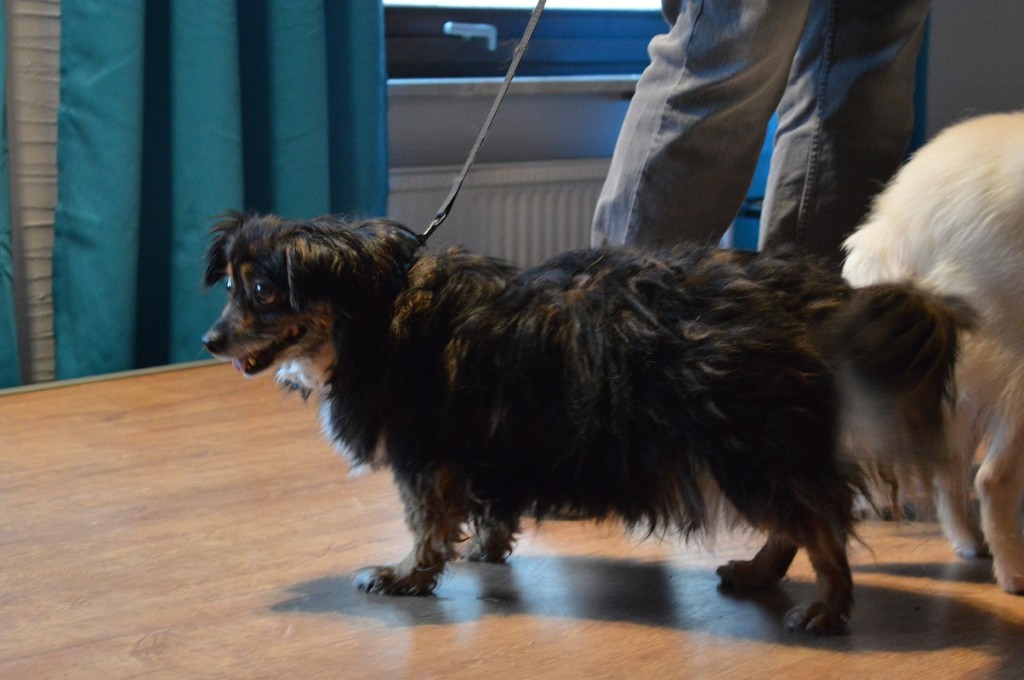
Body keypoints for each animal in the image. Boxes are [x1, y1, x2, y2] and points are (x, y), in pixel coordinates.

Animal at [202, 211, 968, 634]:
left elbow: (426, 527)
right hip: (759, 445)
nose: (209, 340)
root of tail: (826, 300)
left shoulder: (424, 454)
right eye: (230, 287)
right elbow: (489, 506)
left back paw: (829, 609)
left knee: (819, 523)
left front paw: (405, 576)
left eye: (263, 291)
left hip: (751, 439)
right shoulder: (489, 442)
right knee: (797, 519)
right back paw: (758, 572)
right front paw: (487, 546)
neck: (373, 305)